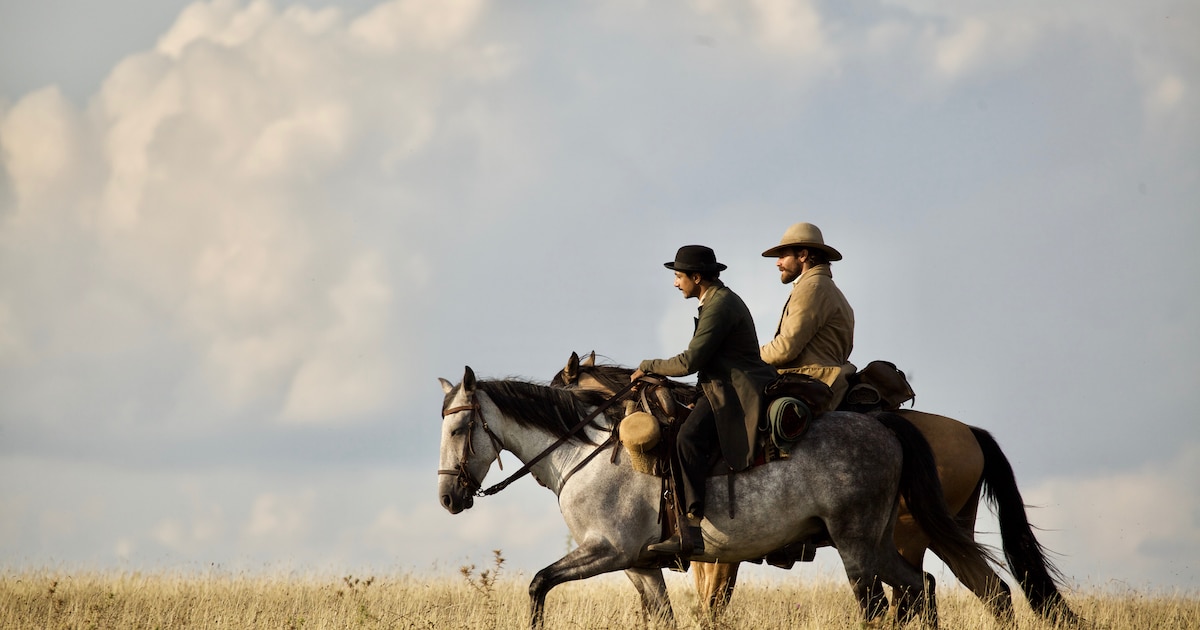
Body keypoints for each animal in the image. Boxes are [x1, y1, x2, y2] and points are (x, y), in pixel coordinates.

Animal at [436, 364, 988, 624]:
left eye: (460, 428)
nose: (447, 499)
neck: (584, 452)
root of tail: (886, 427)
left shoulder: (606, 552)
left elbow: (538, 585)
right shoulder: (640, 565)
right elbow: (664, 617)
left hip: (857, 546)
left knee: (884, 604)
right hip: (879, 544)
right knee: (923, 588)